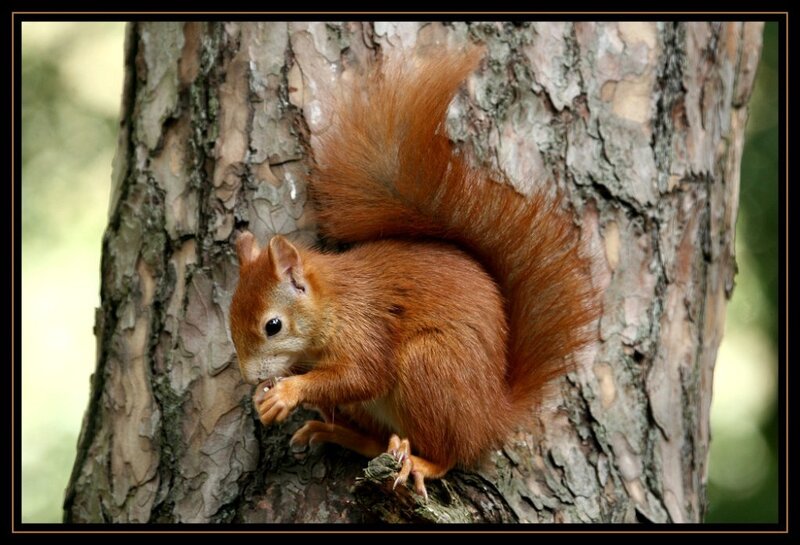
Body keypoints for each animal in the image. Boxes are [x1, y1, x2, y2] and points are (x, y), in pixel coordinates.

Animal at [229, 47, 599, 500]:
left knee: (450, 453)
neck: (332, 303)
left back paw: (420, 463)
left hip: (429, 366)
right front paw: (268, 396)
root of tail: (491, 415)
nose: (249, 378)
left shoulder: (366, 327)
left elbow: (364, 374)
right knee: (380, 440)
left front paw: (287, 392)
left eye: (273, 326)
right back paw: (340, 434)